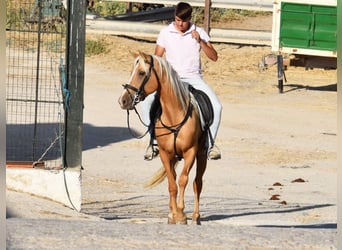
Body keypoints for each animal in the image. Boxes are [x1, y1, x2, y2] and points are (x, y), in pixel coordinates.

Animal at [117, 51, 208, 225]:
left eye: (141, 73)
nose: (122, 100)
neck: (174, 117)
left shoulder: (190, 153)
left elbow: (183, 180)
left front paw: (181, 214)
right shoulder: (166, 154)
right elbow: (172, 184)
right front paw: (173, 215)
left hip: (201, 155)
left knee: (197, 183)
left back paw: (196, 216)